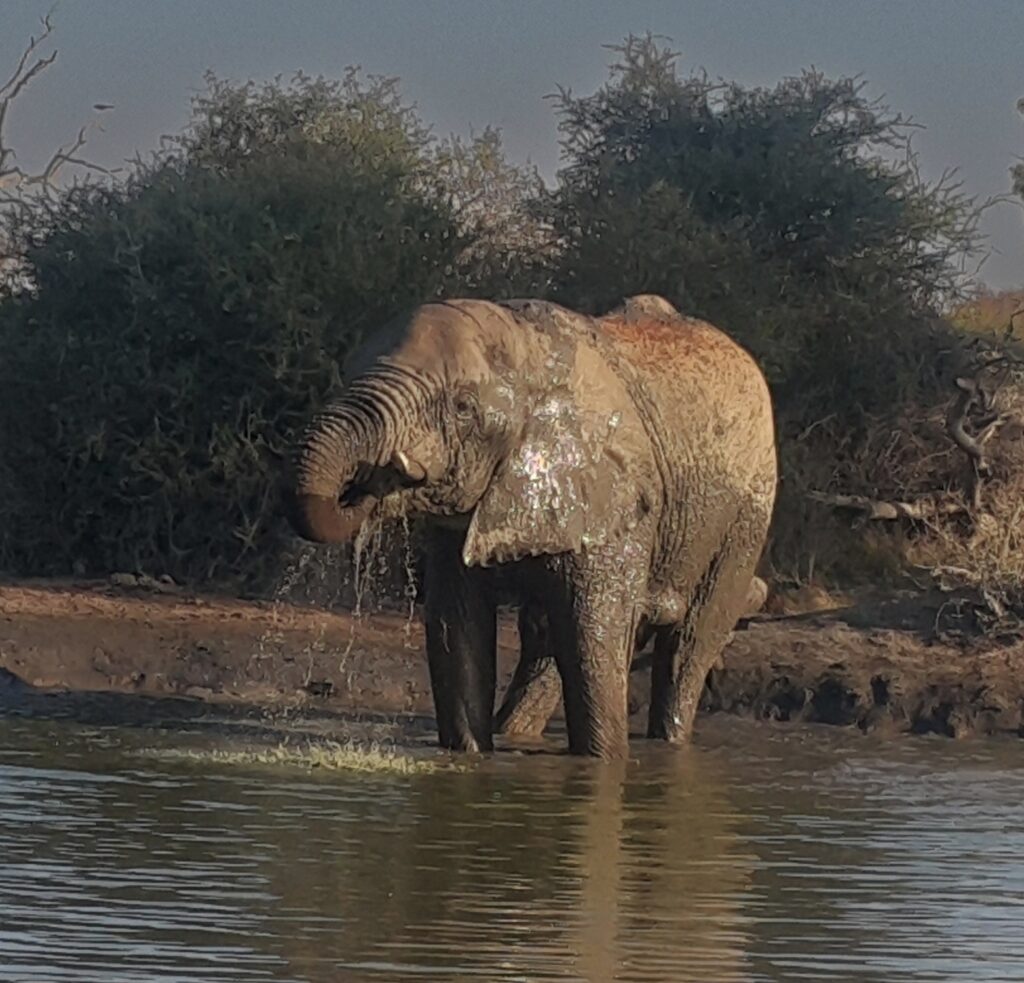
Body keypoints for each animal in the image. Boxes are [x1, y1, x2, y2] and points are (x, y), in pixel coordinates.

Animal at [288, 294, 777, 759]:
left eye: (463, 408)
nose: (375, 477)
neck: (530, 351)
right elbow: (456, 633)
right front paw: (471, 754)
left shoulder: (612, 504)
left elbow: (593, 641)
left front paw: (606, 761)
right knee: (544, 638)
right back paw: (514, 731)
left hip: (746, 514)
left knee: (689, 644)